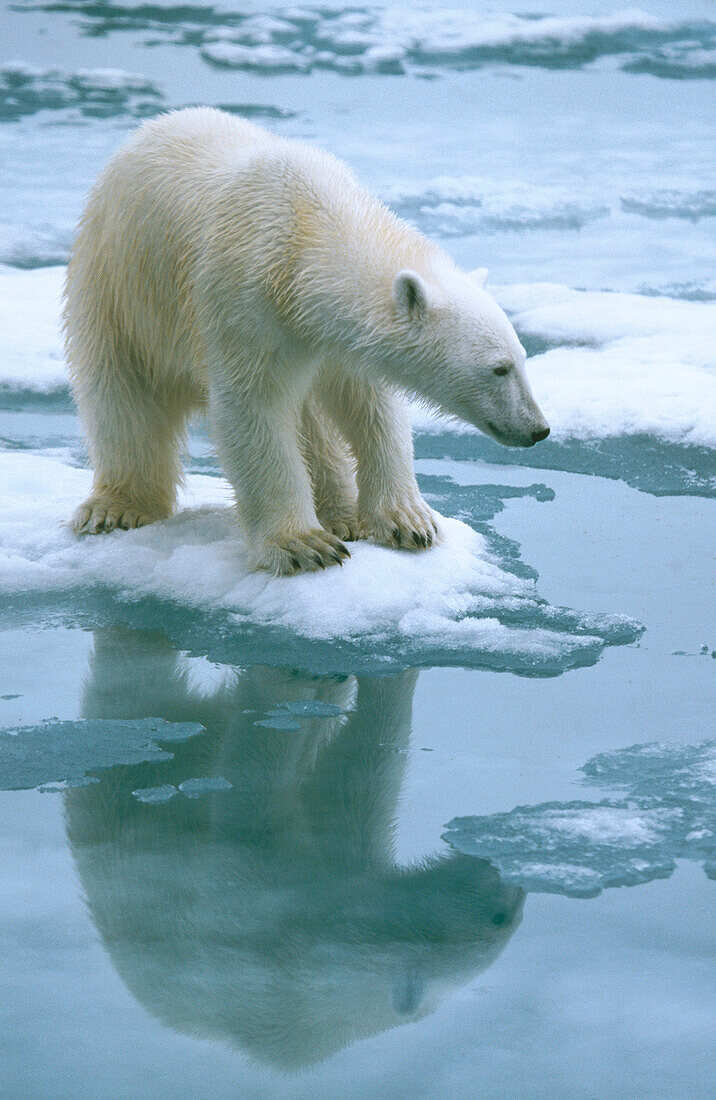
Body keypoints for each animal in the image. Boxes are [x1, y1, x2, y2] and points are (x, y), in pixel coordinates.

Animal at [65, 108, 549, 576]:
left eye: (524, 358)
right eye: (498, 368)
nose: (538, 428)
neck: (306, 227)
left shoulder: (332, 340)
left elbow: (373, 408)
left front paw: (408, 520)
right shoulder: (242, 303)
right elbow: (252, 410)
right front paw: (302, 545)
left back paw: (342, 514)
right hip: (119, 289)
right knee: (123, 401)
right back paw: (117, 507)